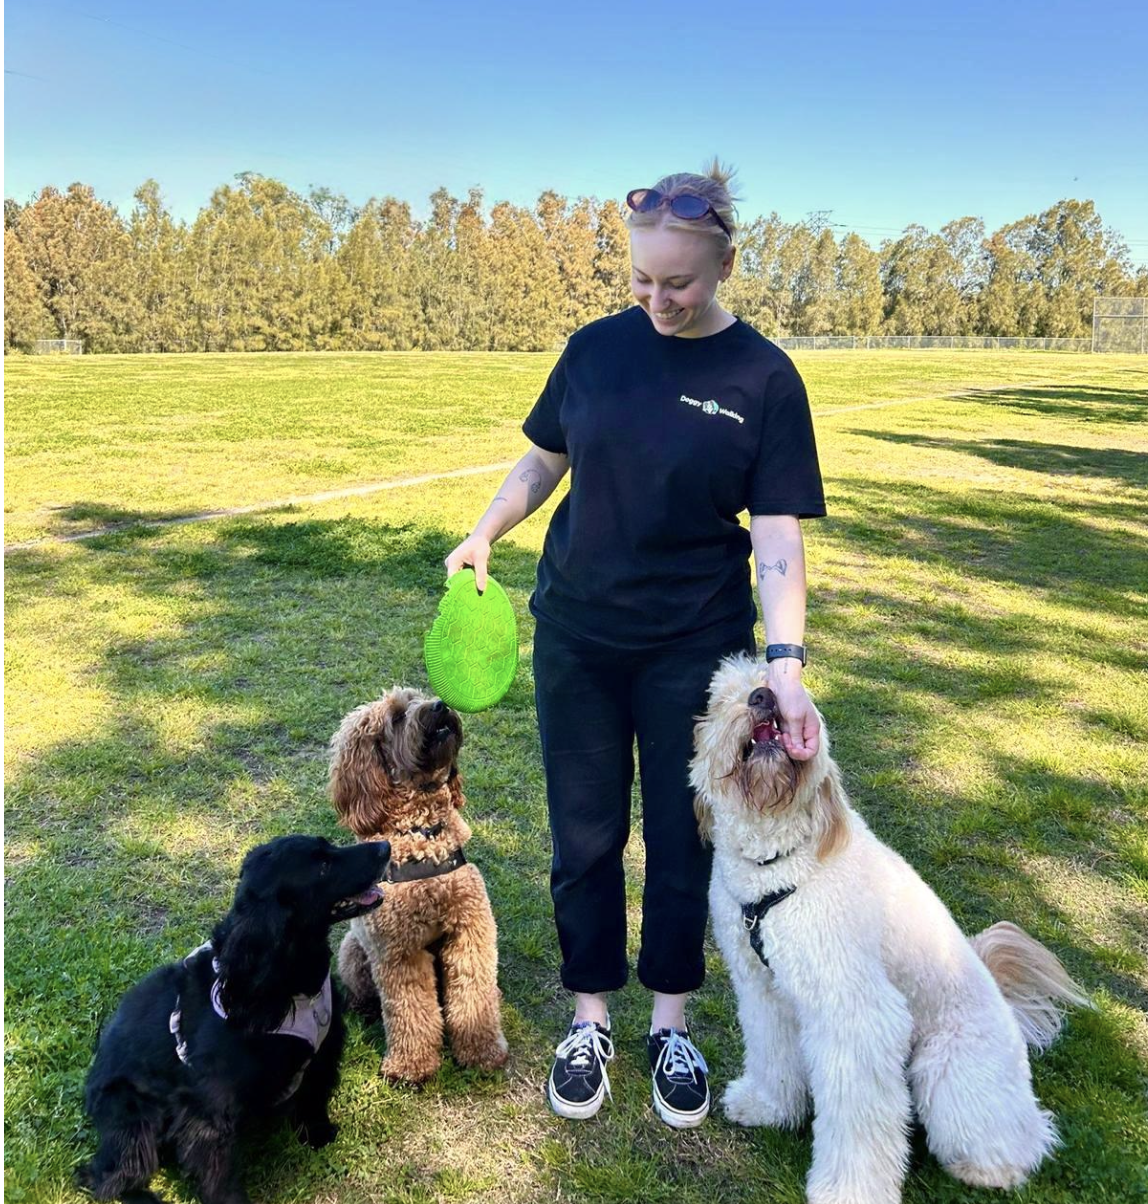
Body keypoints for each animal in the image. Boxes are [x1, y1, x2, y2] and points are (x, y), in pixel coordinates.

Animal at [79, 834, 390, 1204]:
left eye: (329, 847)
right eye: (323, 866)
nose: (385, 847)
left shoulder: (323, 1053)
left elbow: (313, 1098)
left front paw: (318, 1134)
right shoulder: (209, 1108)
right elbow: (218, 1169)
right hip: (132, 1118)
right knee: (105, 1177)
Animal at [329, 688, 509, 1083]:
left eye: (420, 696)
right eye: (397, 717)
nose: (441, 706)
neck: (423, 834)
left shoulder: (470, 929)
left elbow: (473, 993)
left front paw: (483, 1051)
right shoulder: (398, 950)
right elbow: (410, 1009)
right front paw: (410, 1066)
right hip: (352, 953)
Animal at [690, 654, 1088, 1204]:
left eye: (779, 690)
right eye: (721, 699)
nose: (764, 698)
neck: (779, 864)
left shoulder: (857, 1013)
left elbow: (858, 1119)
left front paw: (849, 1189)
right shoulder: (764, 990)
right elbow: (772, 1052)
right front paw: (767, 1106)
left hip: (950, 1074)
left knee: (1021, 1135)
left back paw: (990, 1167)